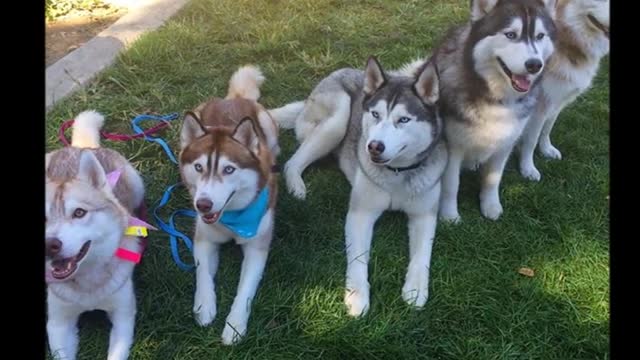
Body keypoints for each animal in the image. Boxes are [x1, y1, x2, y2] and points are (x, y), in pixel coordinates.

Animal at [46, 111, 149, 358]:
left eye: (79, 212)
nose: (49, 245)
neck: (87, 285)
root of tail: (80, 147)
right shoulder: (57, 323)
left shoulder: (123, 315)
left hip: (136, 184)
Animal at [180, 66, 296, 344]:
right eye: (198, 167)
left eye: (229, 169)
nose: (203, 205)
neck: (232, 218)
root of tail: (233, 98)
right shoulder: (203, 239)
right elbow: (202, 273)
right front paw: (205, 306)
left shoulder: (257, 248)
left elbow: (245, 290)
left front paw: (234, 325)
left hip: (267, 125)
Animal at [276, 58, 444, 318]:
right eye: (375, 114)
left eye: (404, 120)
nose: (373, 146)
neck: (396, 174)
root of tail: (342, 71)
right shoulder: (361, 214)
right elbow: (357, 258)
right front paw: (356, 296)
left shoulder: (424, 215)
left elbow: (421, 255)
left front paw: (415, 290)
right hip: (338, 117)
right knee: (292, 162)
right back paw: (297, 188)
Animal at [400, 0, 556, 222]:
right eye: (511, 34)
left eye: (540, 36)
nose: (534, 65)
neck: (496, 98)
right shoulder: (453, 146)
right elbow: (451, 184)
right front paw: (449, 215)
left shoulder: (505, 143)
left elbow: (493, 179)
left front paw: (490, 205)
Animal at [516, 0, 608, 180]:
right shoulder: (540, 104)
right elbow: (531, 139)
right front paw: (528, 168)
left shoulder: (558, 99)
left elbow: (548, 127)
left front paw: (546, 149)